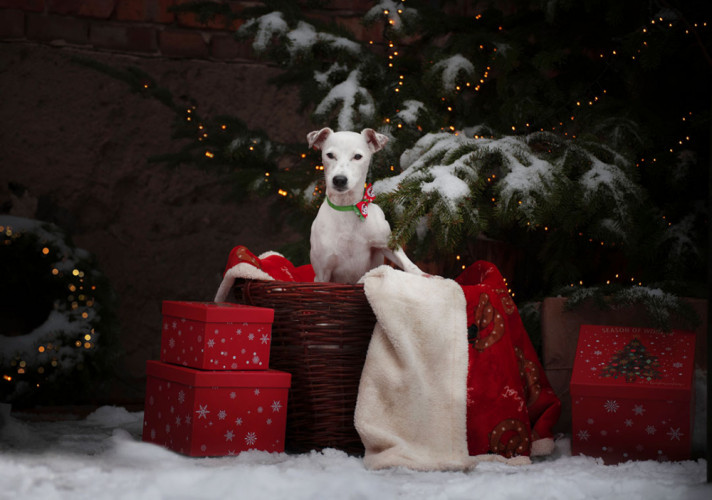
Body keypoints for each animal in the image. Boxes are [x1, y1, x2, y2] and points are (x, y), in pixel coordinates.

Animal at [308, 127, 426, 284]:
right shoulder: (322, 273)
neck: (347, 207)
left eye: (357, 156)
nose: (339, 180)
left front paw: (427, 277)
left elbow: (408, 264)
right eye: (330, 155)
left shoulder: (387, 244)